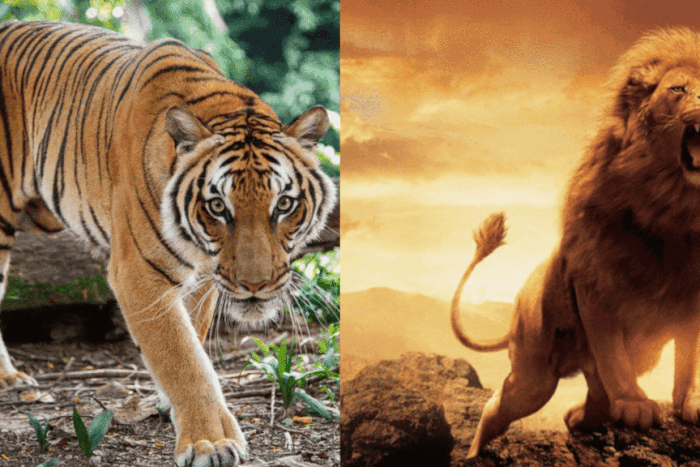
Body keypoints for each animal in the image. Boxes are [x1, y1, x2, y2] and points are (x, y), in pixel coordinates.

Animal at [0, 20, 336, 466]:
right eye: (217, 206)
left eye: (283, 204)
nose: (255, 286)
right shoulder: (139, 273)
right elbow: (182, 357)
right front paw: (210, 442)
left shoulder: (204, 279)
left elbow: (190, 341)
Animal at [452, 28, 700, 458]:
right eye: (679, 89)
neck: (677, 211)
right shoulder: (596, 286)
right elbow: (613, 356)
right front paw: (634, 405)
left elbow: (689, 359)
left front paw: (689, 403)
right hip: (533, 374)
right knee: (496, 406)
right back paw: (475, 453)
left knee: (595, 397)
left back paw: (577, 417)